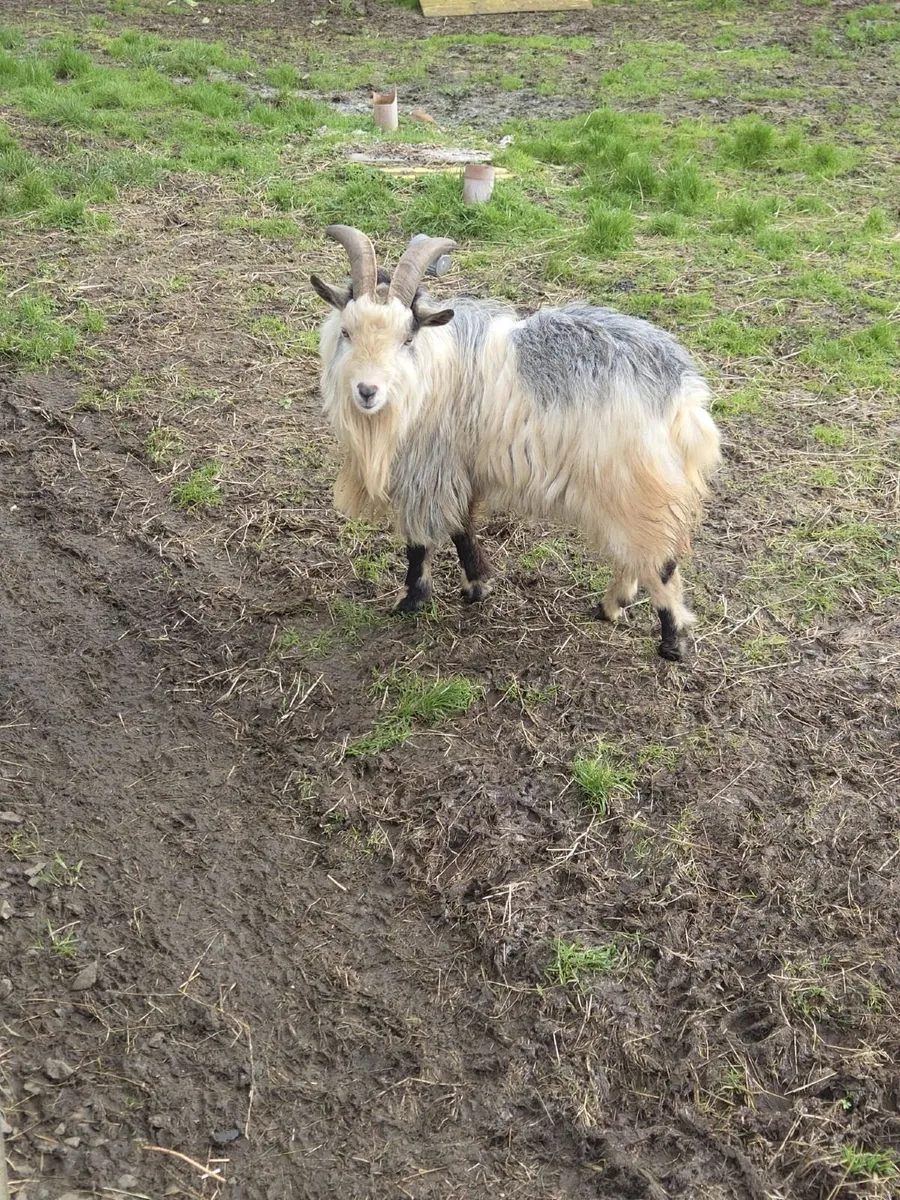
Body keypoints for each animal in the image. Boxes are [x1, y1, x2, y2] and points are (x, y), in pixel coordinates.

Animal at [311, 225, 721, 662]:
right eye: (346, 332)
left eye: (407, 338)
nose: (367, 391)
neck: (433, 368)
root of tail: (684, 396)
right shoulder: (463, 467)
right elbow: (463, 527)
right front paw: (477, 586)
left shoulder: (428, 471)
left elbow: (420, 542)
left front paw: (411, 600)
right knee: (635, 554)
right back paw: (612, 605)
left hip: (639, 486)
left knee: (661, 561)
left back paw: (672, 642)